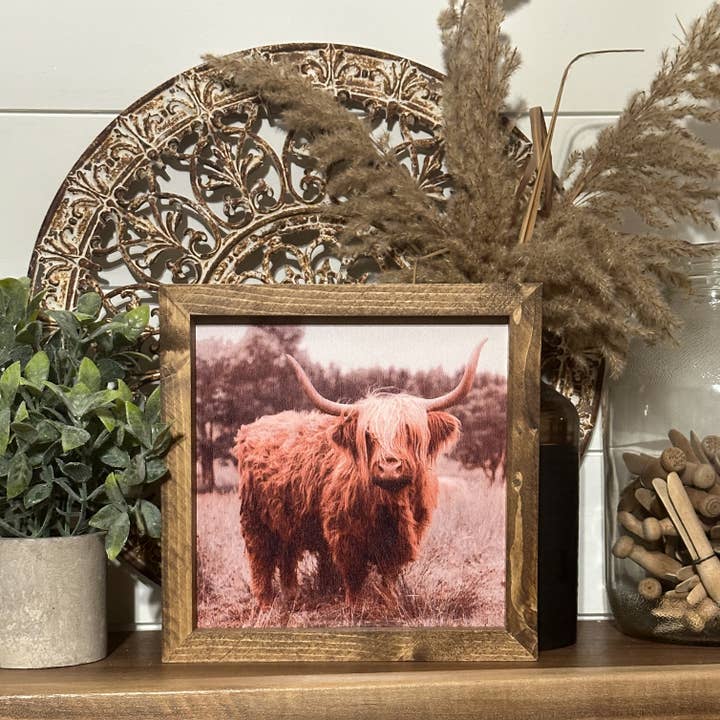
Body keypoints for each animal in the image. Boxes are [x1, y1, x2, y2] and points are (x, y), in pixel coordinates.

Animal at [233, 341, 485, 608]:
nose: (389, 467)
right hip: (254, 520)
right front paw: (356, 608)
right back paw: (265, 604)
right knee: (260, 562)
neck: (390, 506)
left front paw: (391, 606)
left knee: (287, 556)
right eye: (368, 434)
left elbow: (389, 576)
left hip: (286, 521)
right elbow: (353, 577)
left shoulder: (400, 540)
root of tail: (253, 426)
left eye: (408, 432)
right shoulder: (345, 537)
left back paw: (292, 597)